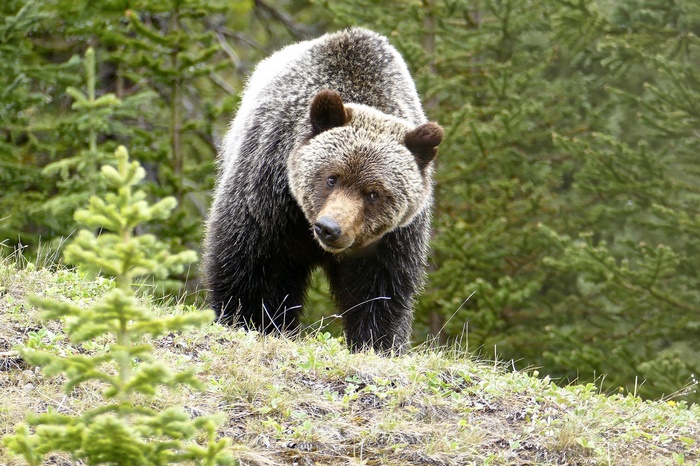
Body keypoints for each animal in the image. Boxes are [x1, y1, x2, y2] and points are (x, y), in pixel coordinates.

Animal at [203, 27, 443, 353]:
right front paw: (251, 320)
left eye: (373, 193)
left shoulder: (393, 239)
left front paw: (377, 341)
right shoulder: (269, 199)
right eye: (332, 177)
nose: (330, 228)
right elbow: (252, 265)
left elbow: (380, 290)